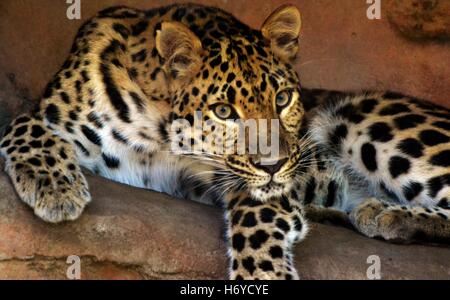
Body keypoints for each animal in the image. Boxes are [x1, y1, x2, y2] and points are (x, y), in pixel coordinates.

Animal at [0, 2, 450, 280]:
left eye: (282, 99)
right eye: (222, 111)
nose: (274, 165)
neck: (158, 130)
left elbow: (257, 215)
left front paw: (264, 273)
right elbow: (19, 122)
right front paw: (56, 188)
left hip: (361, 117)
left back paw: (381, 211)